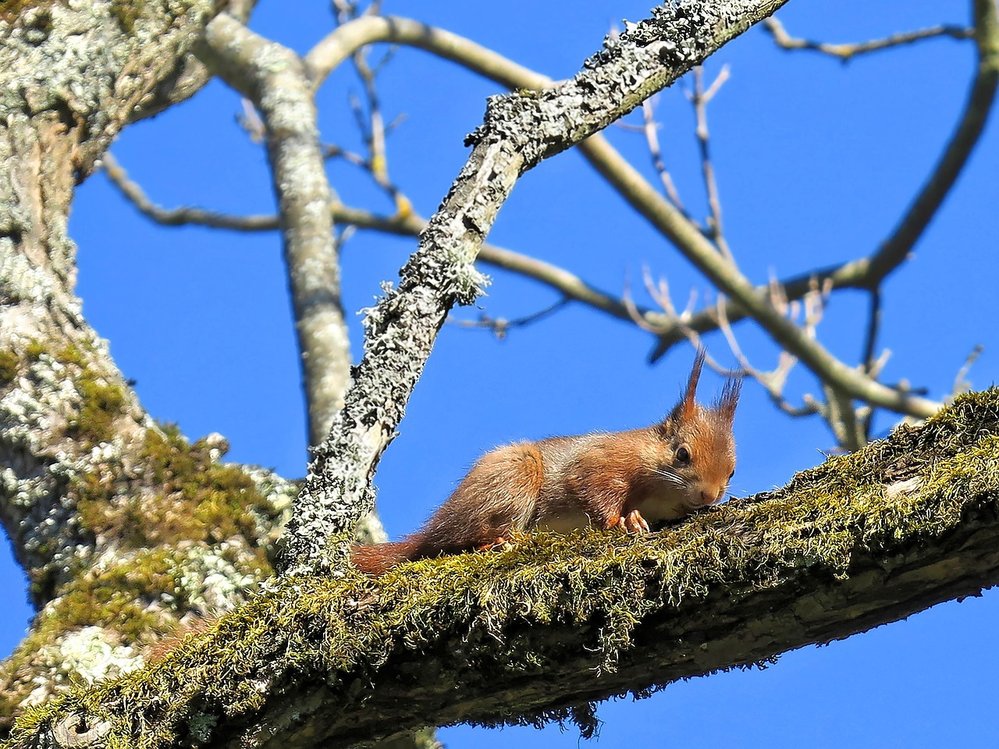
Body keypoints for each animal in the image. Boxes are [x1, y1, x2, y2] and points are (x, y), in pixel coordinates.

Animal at [350, 354, 736, 576]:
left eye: (732, 471)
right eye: (682, 454)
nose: (709, 495)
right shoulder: (603, 460)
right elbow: (593, 487)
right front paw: (624, 521)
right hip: (512, 479)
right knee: (461, 538)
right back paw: (497, 540)